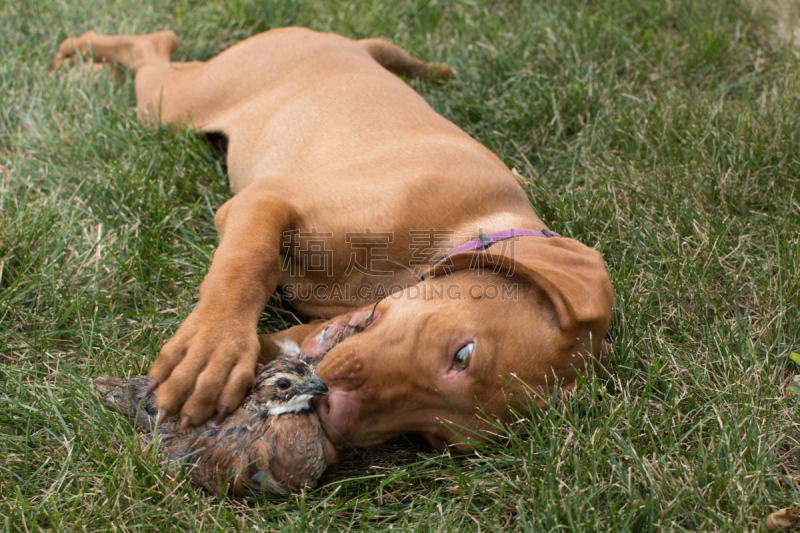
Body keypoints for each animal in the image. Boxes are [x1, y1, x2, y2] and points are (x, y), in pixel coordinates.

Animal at [59, 28, 616, 448]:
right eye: (463, 354)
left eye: (437, 438)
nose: (334, 417)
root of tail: (339, 39)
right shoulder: (262, 201)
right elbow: (247, 264)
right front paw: (211, 347)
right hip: (180, 106)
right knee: (151, 49)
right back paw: (87, 56)